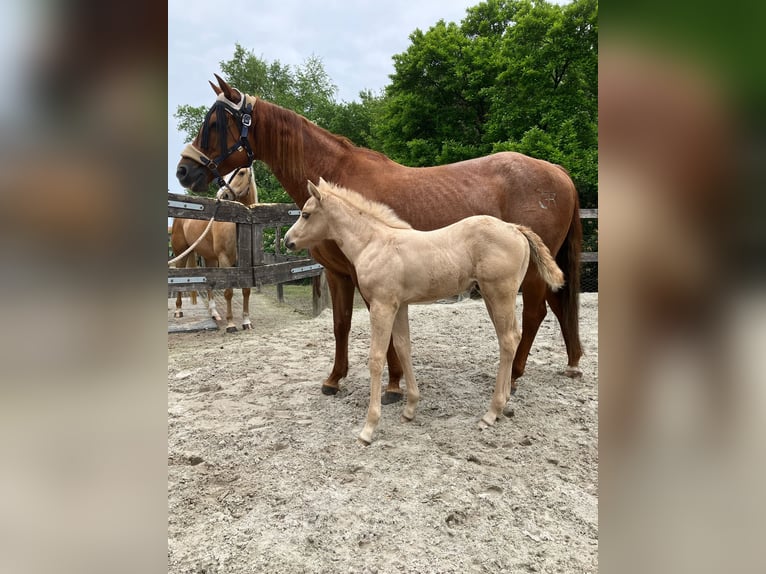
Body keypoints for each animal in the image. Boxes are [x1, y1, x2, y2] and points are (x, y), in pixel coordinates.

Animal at [170, 166, 257, 332]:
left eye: (242, 172)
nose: (222, 195)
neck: (237, 223)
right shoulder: (224, 259)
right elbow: (228, 292)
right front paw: (231, 324)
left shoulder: (245, 263)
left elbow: (246, 290)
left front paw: (247, 321)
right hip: (181, 253)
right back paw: (178, 311)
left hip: (209, 258)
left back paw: (214, 313)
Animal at [285, 179, 565, 444]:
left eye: (306, 214)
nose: (287, 241)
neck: (373, 243)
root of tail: (515, 228)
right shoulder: (399, 305)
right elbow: (403, 347)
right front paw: (410, 408)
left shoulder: (382, 305)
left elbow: (376, 358)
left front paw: (369, 427)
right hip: (493, 296)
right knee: (511, 337)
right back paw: (504, 403)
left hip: (499, 293)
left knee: (507, 340)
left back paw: (491, 412)